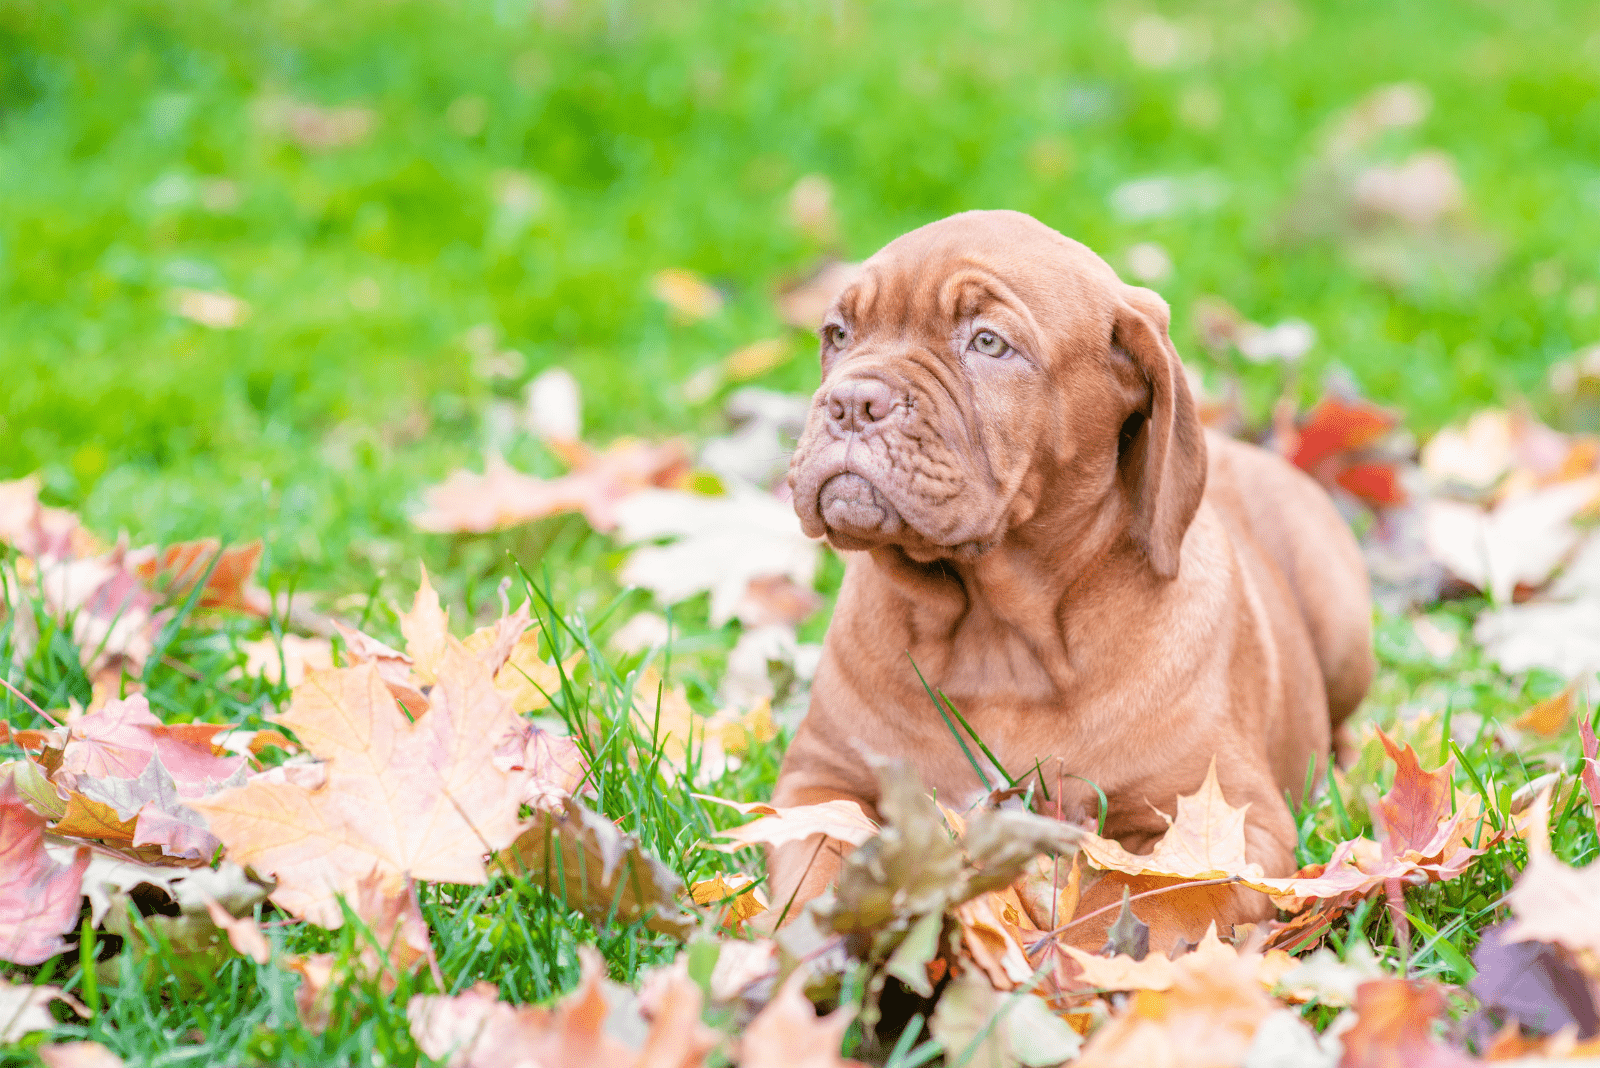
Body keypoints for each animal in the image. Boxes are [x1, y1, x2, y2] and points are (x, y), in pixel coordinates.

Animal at [768, 212, 1369, 946]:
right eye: (838, 334)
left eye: (989, 342)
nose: (851, 400)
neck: (997, 639)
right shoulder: (820, 780)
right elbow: (820, 860)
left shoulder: (1229, 826)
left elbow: (1129, 899)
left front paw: (1062, 962)